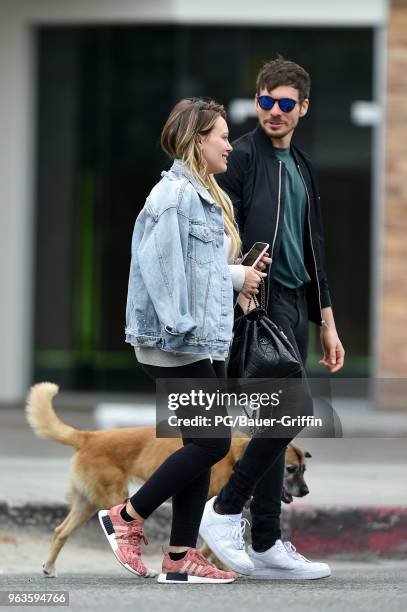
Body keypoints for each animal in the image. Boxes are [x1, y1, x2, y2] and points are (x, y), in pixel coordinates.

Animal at [26, 380, 312, 576]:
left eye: (304, 469)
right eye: (290, 469)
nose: (306, 492)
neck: (238, 458)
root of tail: (89, 437)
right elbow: (210, 546)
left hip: (86, 503)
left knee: (60, 532)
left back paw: (49, 567)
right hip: (114, 497)